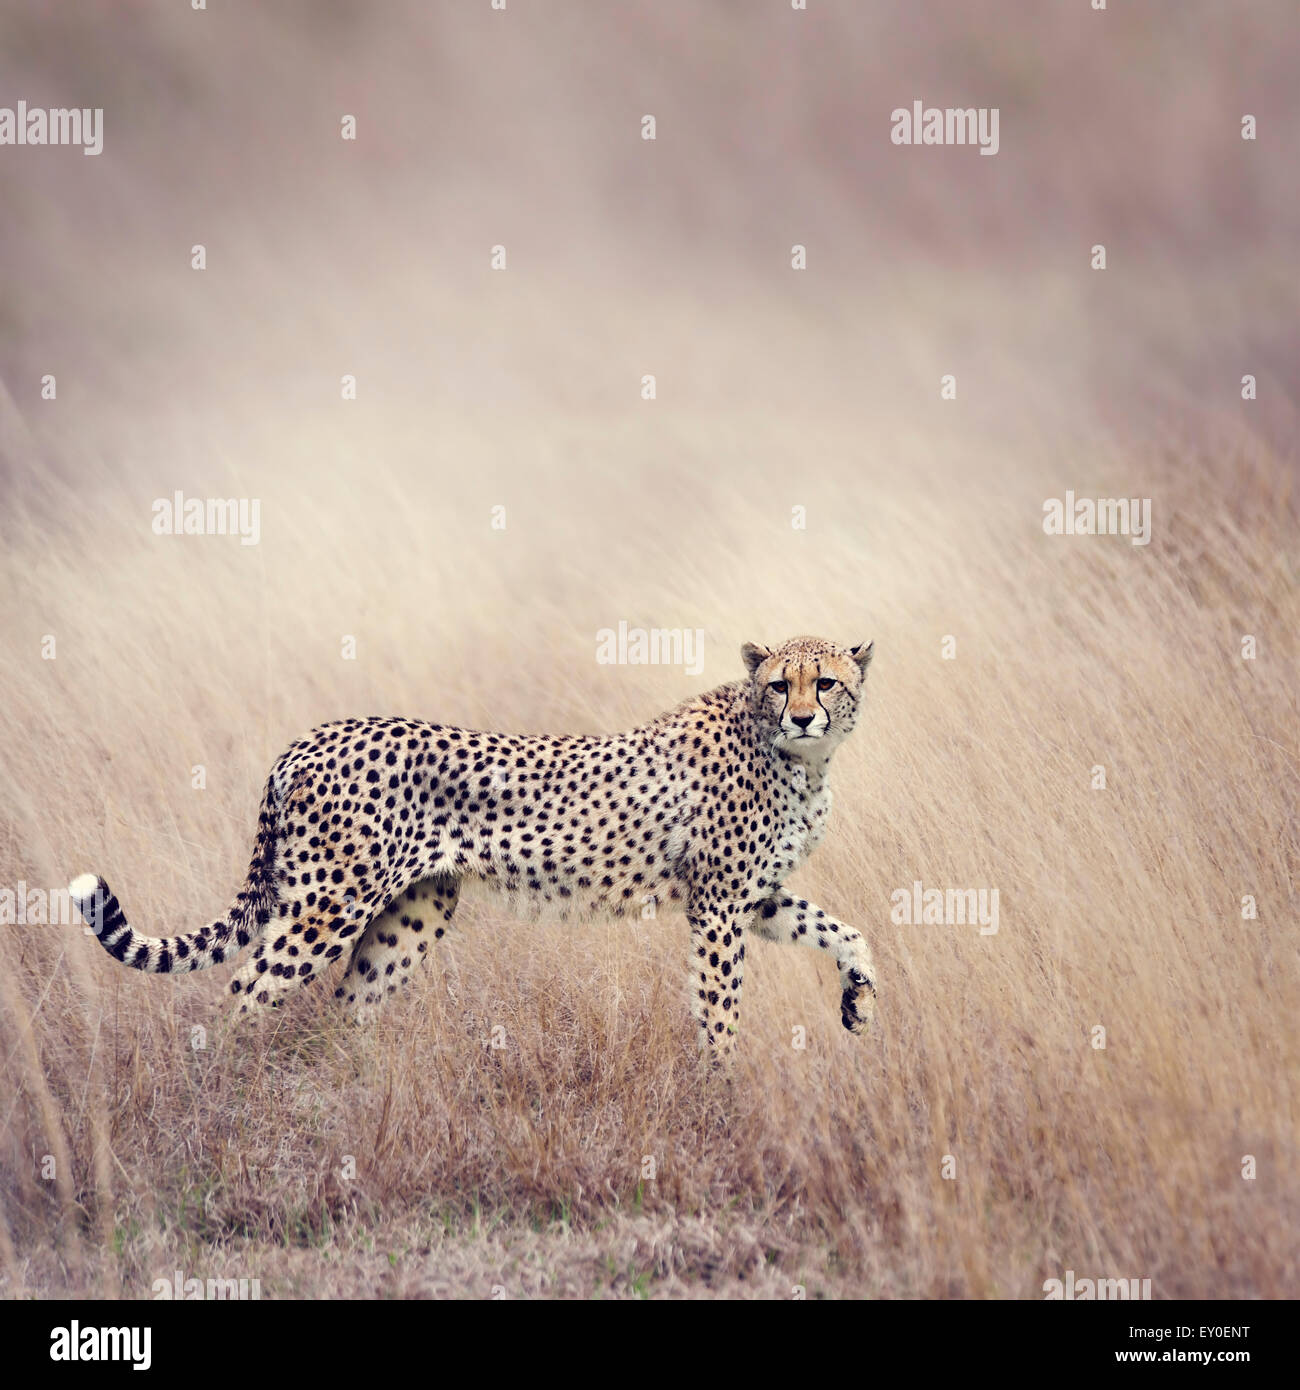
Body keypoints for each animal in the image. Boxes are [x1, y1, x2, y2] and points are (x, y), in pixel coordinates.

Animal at [73, 636, 884, 1050]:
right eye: (781, 684)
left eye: (827, 683)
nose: (804, 716)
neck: (800, 759)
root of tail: (311, 736)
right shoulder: (717, 906)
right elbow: (721, 1007)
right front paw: (717, 1092)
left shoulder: (755, 898)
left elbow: (846, 931)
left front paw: (860, 999)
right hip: (326, 906)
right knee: (243, 993)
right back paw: (225, 1097)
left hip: (415, 912)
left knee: (346, 1005)